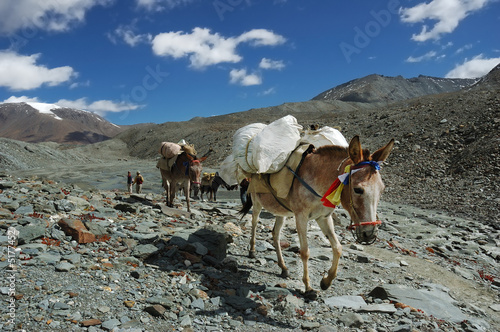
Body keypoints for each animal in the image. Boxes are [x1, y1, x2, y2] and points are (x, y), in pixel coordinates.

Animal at [239, 135, 394, 298]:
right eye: (358, 190)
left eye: (382, 189)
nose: (369, 234)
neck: (317, 178)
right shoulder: (301, 217)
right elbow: (305, 252)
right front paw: (308, 288)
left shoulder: (324, 217)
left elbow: (337, 247)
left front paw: (326, 281)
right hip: (257, 203)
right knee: (254, 223)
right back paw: (252, 251)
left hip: (281, 212)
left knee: (275, 233)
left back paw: (283, 268)